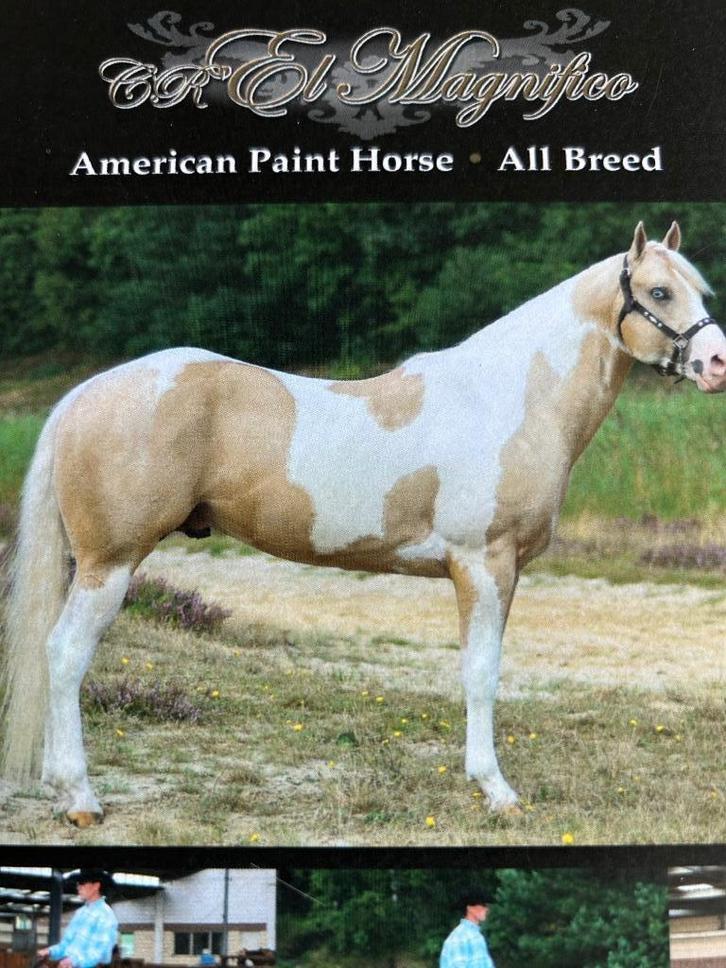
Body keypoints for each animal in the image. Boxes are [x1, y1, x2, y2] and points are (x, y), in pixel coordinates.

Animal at [2, 222, 724, 827]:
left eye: (700, 290)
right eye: (659, 291)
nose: (716, 363)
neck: (508, 399)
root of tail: (82, 396)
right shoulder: (483, 563)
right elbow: (481, 673)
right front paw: (495, 790)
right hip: (109, 563)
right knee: (64, 655)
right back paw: (81, 799)